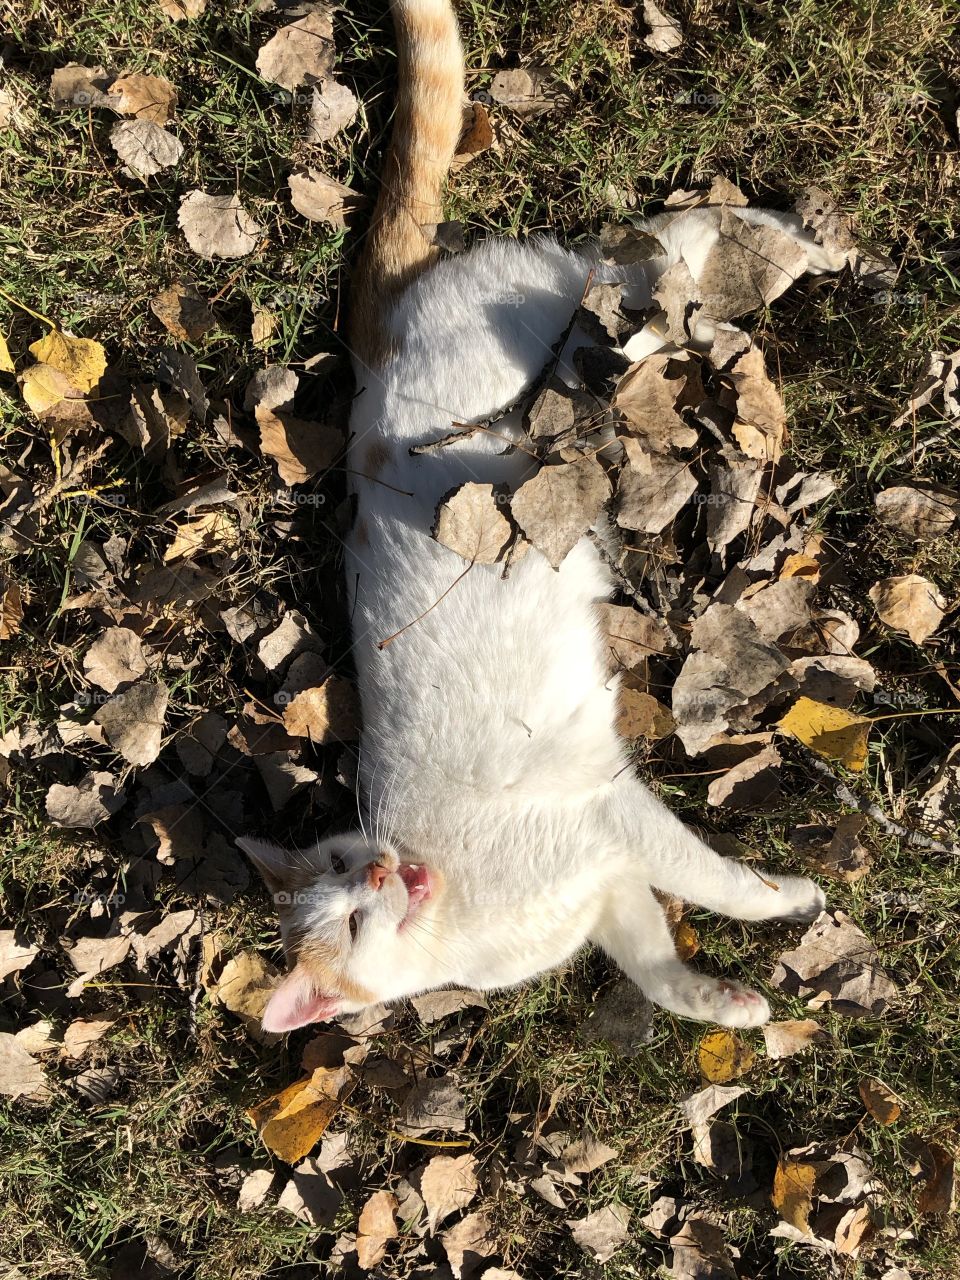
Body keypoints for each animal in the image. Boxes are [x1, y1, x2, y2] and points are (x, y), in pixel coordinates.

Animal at [232, 0, 834, 1029]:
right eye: (348, 910)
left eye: (351, 867)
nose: (385, 872)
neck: (461, 918)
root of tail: (368, 326)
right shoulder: (608, 880)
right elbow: (655, 961)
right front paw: (721, 1002)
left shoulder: (608, 812)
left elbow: (720, 882)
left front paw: (789, 900)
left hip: (586, 313)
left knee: (663, 234)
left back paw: (798, 234)